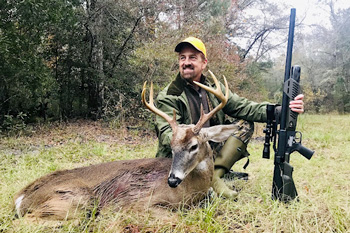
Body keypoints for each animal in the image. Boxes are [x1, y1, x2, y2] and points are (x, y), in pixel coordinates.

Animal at [13, 71, 238, 220]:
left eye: (193, 146)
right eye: (172, 147)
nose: (172, 180)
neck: (191, 190)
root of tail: (21, 198)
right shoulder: (137, 204)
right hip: (78, 200)